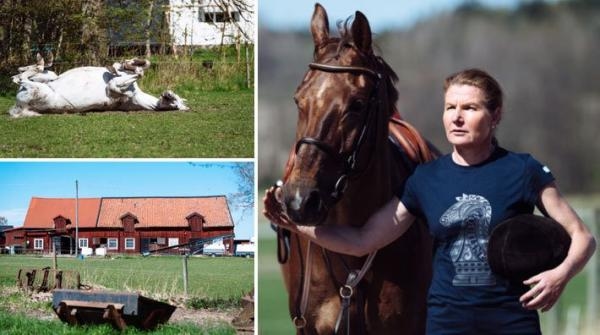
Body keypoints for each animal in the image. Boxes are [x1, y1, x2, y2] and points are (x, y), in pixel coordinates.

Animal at [8, 55, 188, 117]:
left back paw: (38, 64)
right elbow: (139, 65)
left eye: (178, 103)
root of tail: (19, 107)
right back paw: (36, 63)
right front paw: (128, 63)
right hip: (49, 78)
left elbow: (132, 76)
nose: (168, 95)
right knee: (28, 74)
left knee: (20, 79)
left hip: (39, 90)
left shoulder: (114, 87)